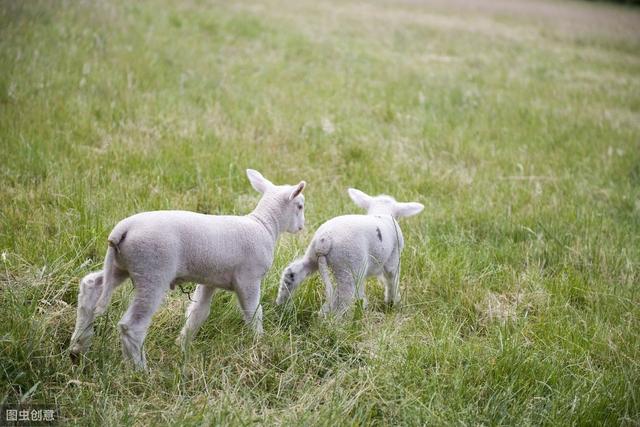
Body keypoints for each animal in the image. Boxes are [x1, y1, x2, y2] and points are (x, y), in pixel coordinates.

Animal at [69, 169, 308, 370]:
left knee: (90, 288)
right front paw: (259, 342)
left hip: (120, 266)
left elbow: (198, 313)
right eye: (300, 206)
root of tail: (122, 230)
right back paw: (140, 371)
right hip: (152, 272)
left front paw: (181, 346)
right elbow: (254, 313)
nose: (302, 227)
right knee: (132, 326)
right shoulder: (249, 279)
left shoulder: (210, 280)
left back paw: (78, 348)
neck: (264, 225)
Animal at [274, 189, 420, 316]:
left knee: (292, 273)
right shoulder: (393, 259)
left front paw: (363, 306)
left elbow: (361, 290)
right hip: (348, 265)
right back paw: (335, 324)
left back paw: (282, 307)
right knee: (343, 297)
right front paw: (393, 303)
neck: (382, 212)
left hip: (314, 255)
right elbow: (392, 280)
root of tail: (325, 240)